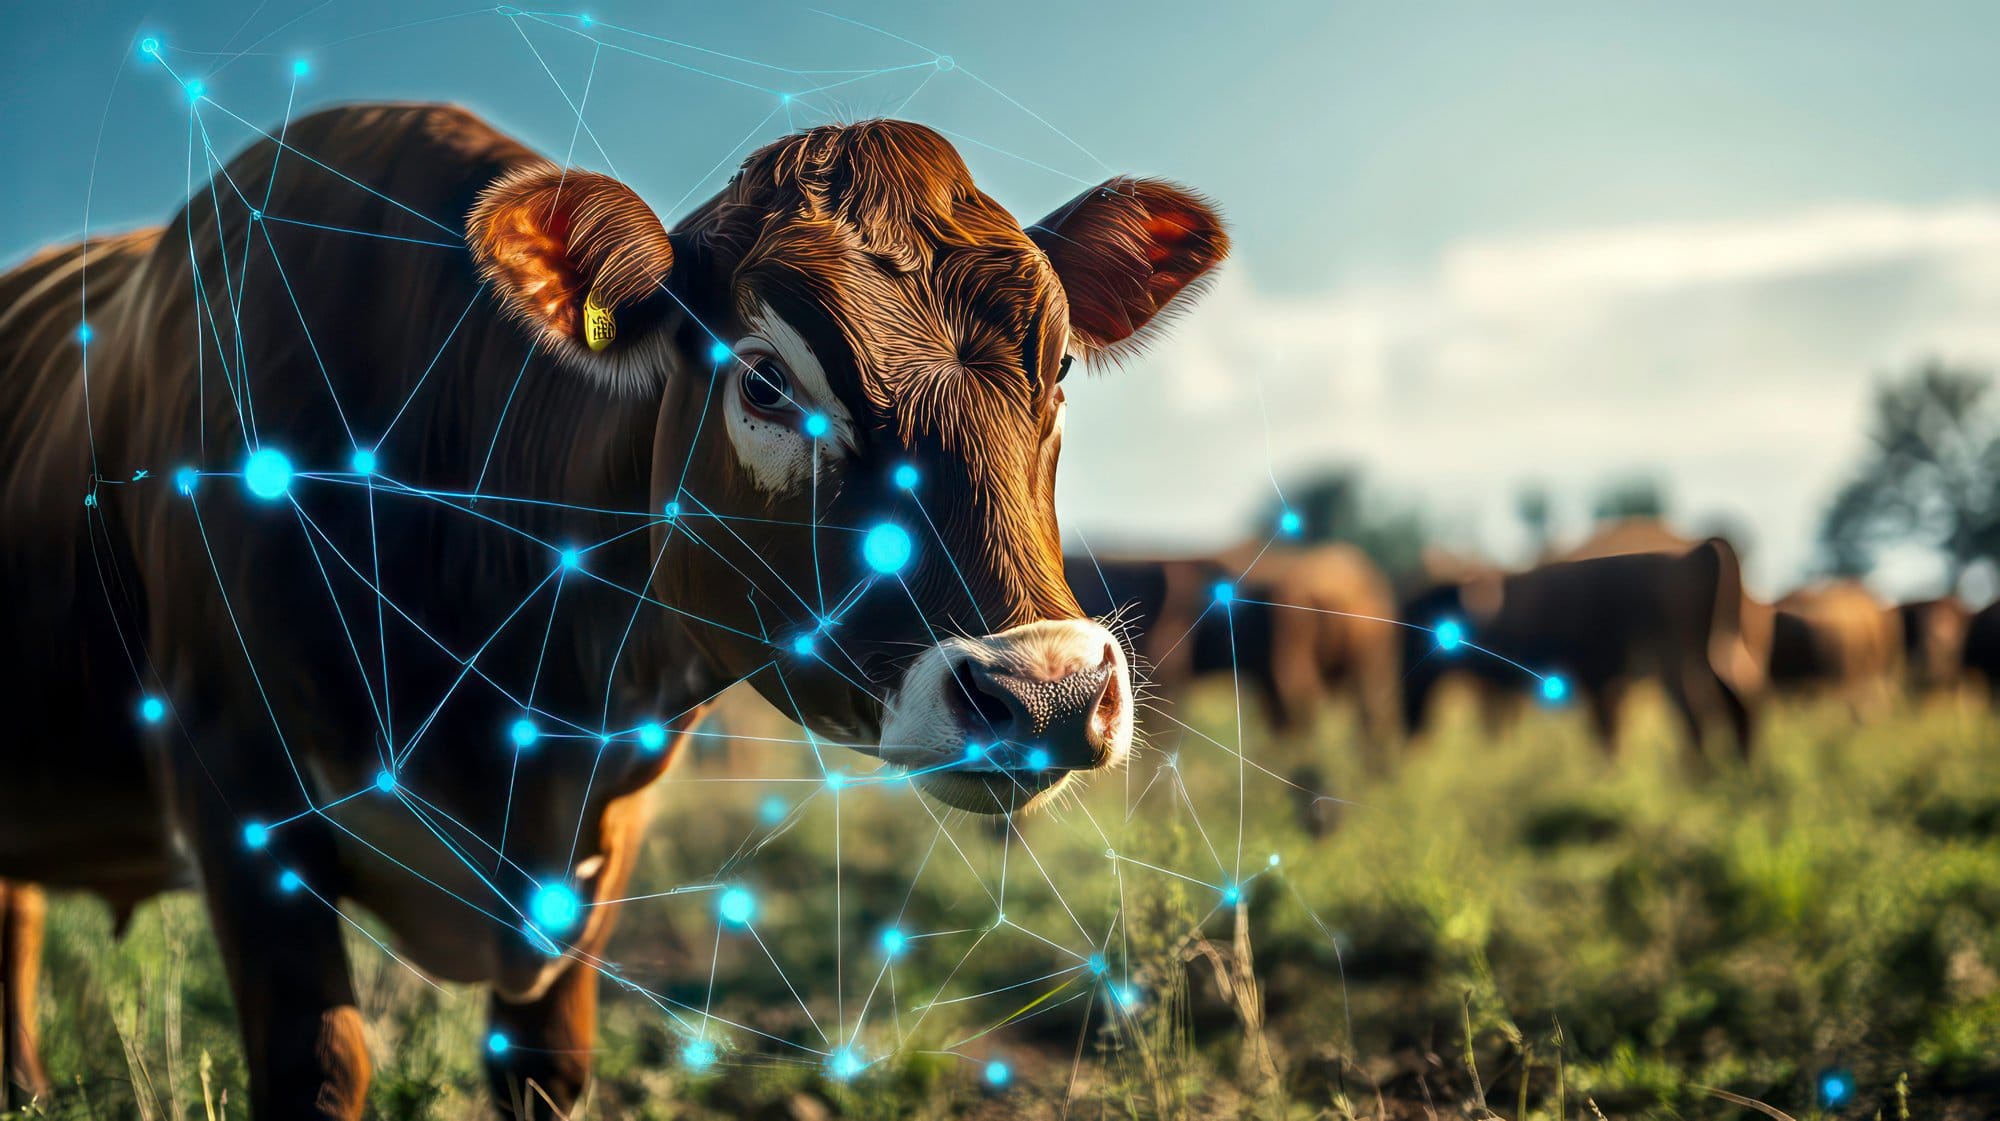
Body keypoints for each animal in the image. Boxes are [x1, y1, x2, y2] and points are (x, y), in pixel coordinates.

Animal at [0, 103, 1227, 1116]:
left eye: (1056, 366)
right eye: (765, 379)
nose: (1047, 690)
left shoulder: (602, 838)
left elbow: (546, 1067)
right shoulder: (233, 785)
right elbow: (319, 1062)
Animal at [1399, 538, 1760, 756]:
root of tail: (1697, 553)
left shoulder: (1599, 683)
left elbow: (1605, 734)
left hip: (1675, 665)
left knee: (1695, 709)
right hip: (1719, 650)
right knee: (1737, 697)